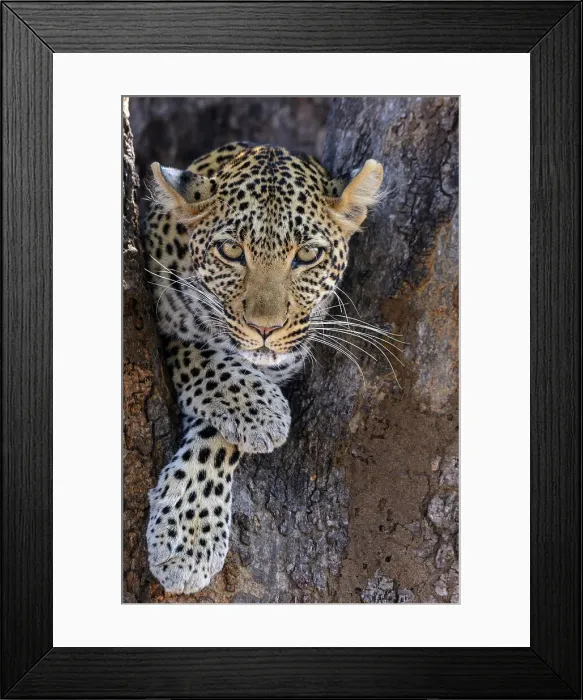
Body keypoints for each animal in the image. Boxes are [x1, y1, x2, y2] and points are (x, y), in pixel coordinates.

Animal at [141, 141, 383, 594]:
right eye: (231, 251)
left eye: (307, 255)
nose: (265, 329)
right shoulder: (164, 323)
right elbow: (199, 351)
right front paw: (258, 408)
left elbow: (215, 438)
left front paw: (187, 536)